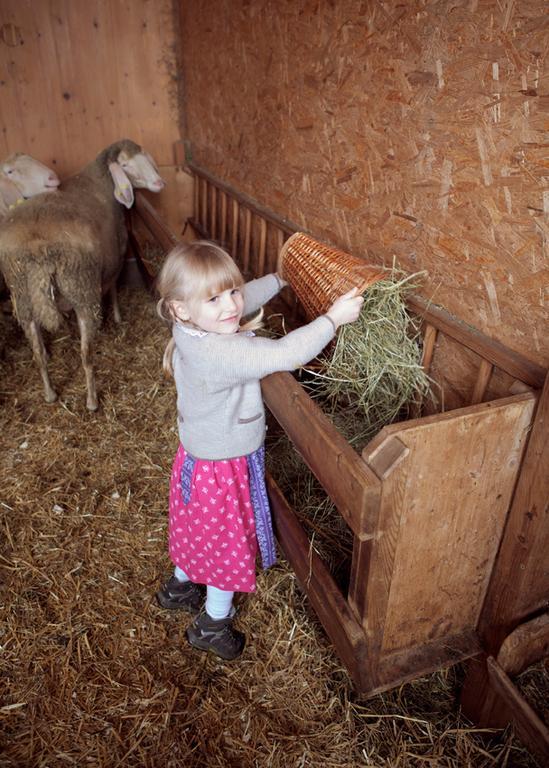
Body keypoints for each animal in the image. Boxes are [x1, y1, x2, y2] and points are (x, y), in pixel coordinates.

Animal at [0, 140, 164, 412]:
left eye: (146, 158)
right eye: (126, 165)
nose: (159, 183)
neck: (101, 181)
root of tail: (38, 250)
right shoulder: (117, 254)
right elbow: (113, 287)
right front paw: (117, 316)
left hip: (23, 298)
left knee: (38, 354)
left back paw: (50, 394)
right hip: (82, 289)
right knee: (86, 356)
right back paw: (92, 401)